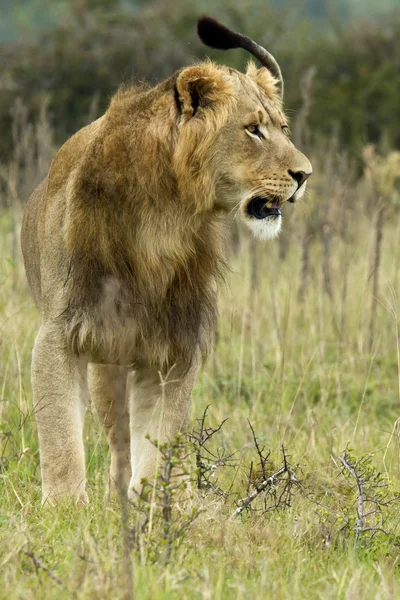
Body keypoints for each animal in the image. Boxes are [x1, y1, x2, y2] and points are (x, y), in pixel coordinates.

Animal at [20, 16, 312, 504]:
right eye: (253, 129)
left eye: (283, 127)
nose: (305, 174)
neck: (166, 215)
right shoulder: (60, 333)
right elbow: (59, 435)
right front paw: (65, 508)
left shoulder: (173, 343)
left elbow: (159, 439)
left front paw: (156, 507)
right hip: (106, 367)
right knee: (115, 438)